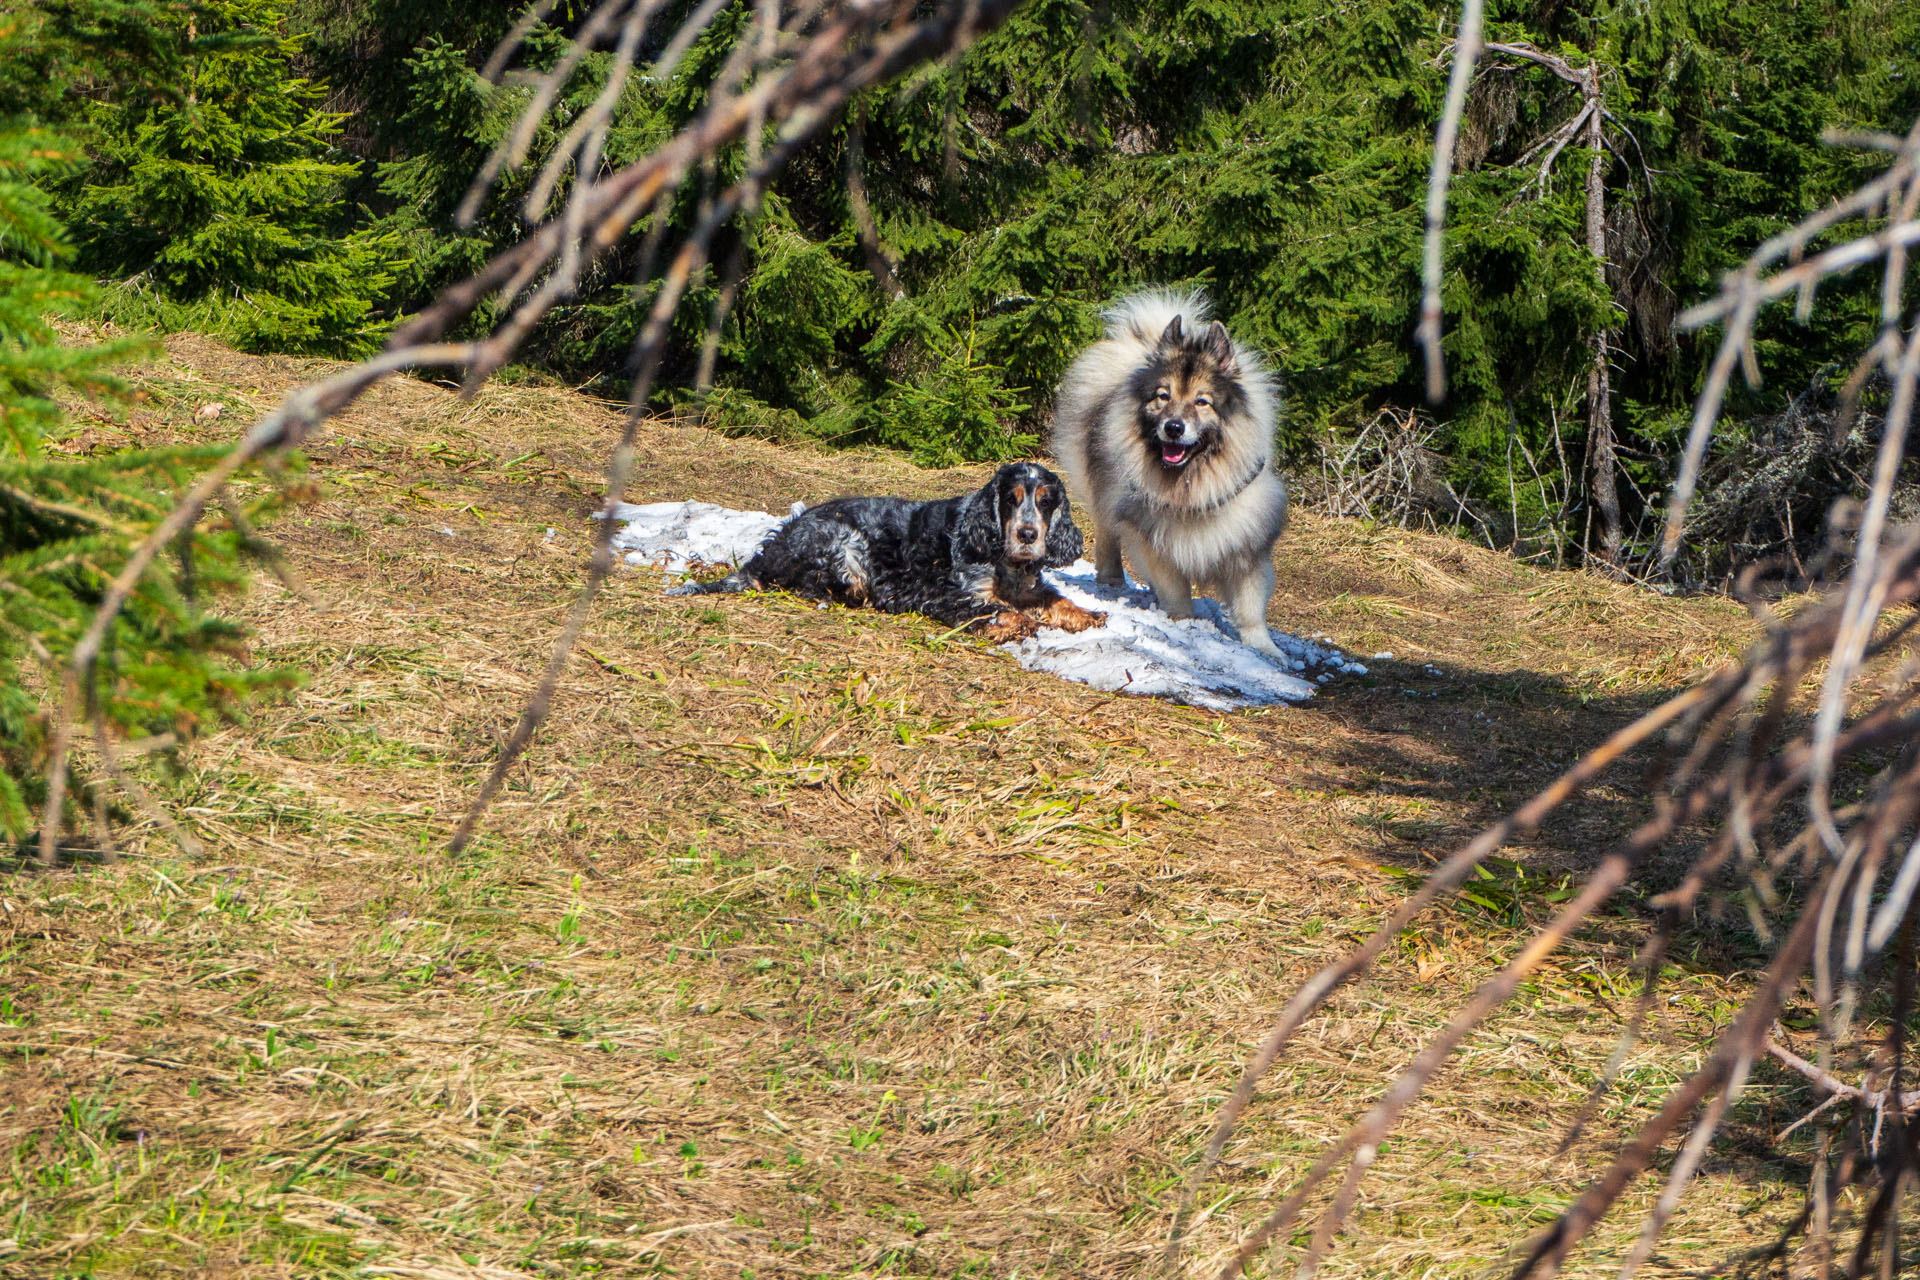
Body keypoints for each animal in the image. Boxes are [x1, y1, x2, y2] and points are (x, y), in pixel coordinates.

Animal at [675, 460, 1105, 640]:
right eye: (1011, 500)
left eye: (1046, 502)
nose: (1028, 534)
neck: (1006, 563)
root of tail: (770, 551)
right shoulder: (946, 590)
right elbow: (991, 606)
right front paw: (1016, 622)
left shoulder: (1029, 586)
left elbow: (1055, 599)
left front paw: (1088, 615)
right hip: (845, 544)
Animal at [1052, 291, 1290, 660]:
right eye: (1163, 397)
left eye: (1202, 402)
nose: (1174, 427)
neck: (1192, 482)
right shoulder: (1155, 540)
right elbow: (1177, 592)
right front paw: (1184, 625)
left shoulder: (1247, 543)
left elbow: (1251, 606)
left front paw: (1265, 648)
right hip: (1104, 490)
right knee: (1107, 531)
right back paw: (1112, 578)